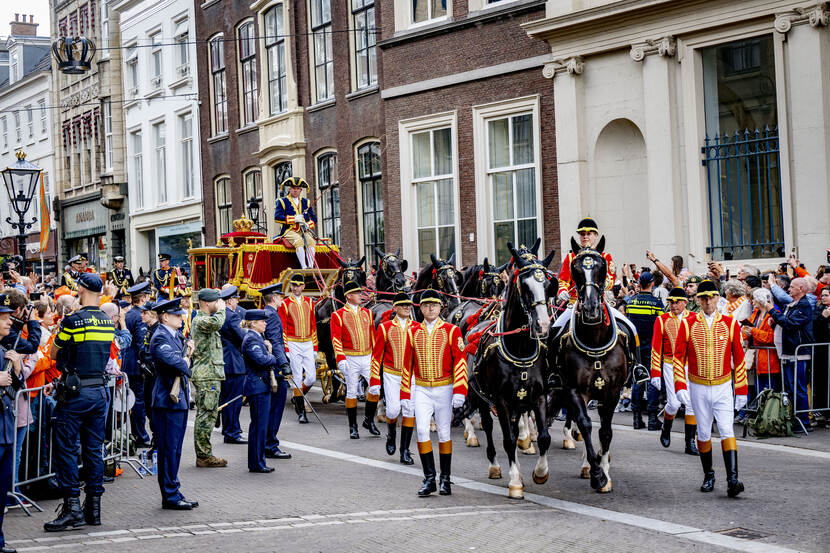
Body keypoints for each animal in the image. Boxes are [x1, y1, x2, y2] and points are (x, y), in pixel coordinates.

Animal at [468, 239, 560, 498]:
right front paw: (515, 482)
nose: (543, 325)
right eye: (525, 285)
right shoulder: (501, 401)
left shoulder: (538, 396)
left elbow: (544, 437)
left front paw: (539, 473)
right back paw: (496, 466)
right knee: (490, 428)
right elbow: (507, 440)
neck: (519, 347)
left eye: (548, 284)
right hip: (481, 398)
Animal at [548, 236, 628, 492]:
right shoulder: (575, 389)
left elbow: (605, 431)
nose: (591, 309)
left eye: (602, 267)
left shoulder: (612, 391)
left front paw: (605, 472)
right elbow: (585, 424)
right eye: (575, 269)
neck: (595, 339)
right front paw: (596, 472)